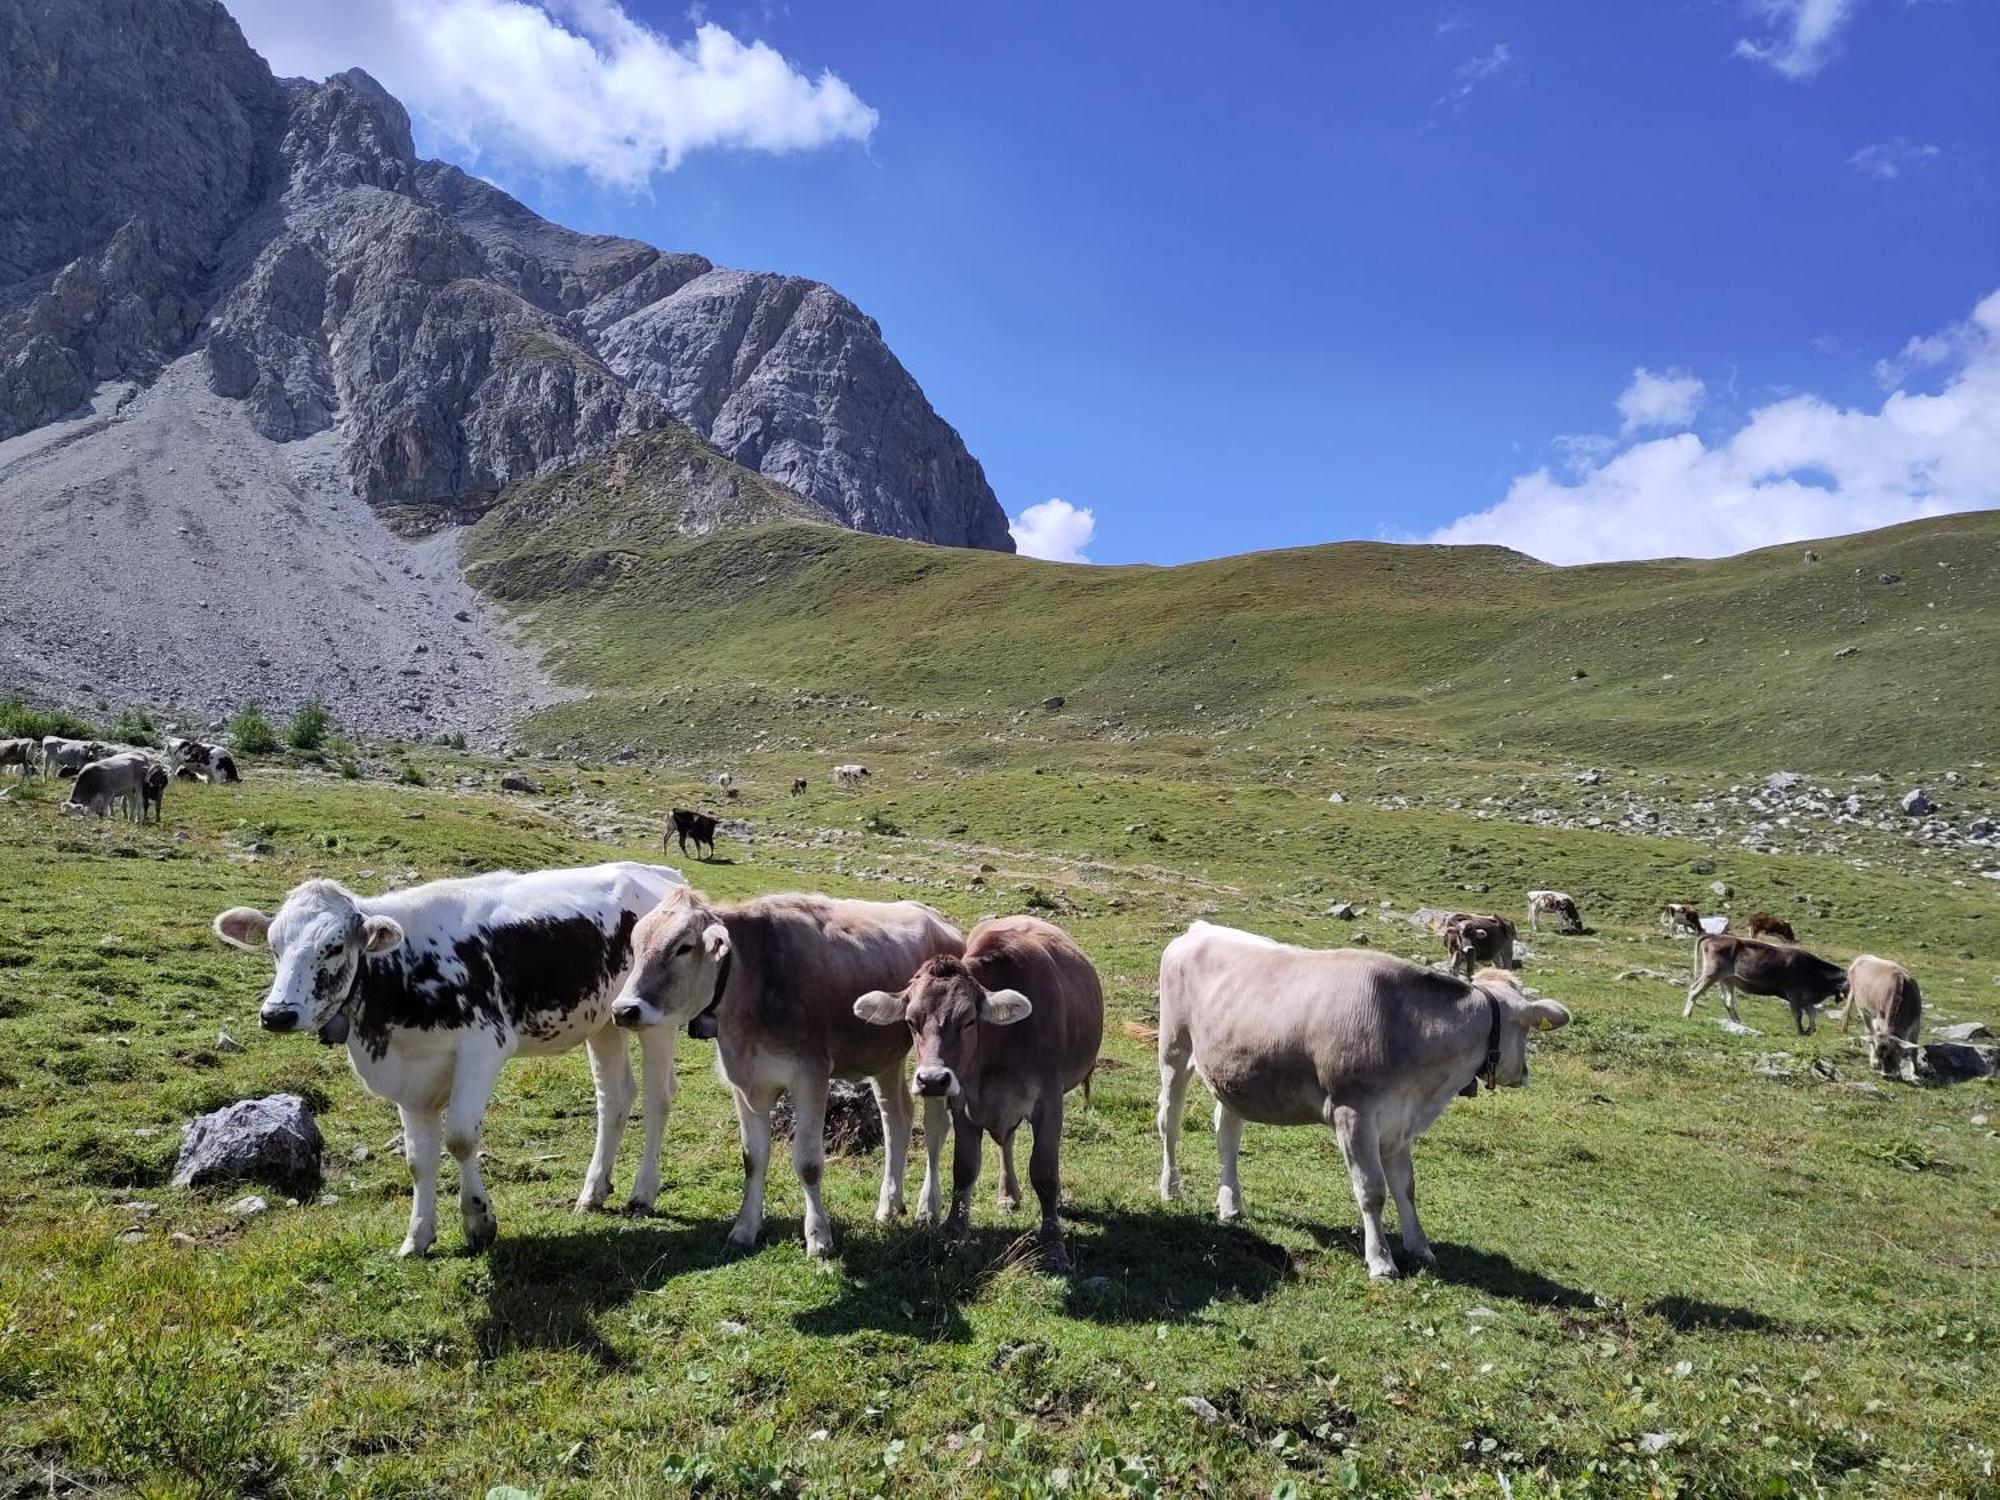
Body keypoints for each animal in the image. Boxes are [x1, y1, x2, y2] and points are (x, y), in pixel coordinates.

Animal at [215, 856, 688, 1256]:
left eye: (333, 947)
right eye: (274, 947)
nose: (278, 1014)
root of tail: (658, 873)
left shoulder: (484, 1046)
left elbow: (460, 1137)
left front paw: (479, 1222)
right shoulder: (411, 1076)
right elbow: (417, 1160)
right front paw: (417, 1238)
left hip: (654, 1019)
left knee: (657, 1098)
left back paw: (642, 1193)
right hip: (604, 1021)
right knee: (614, 1099)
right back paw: (593, 1192)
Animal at [612, 892, 964, 1256]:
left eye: (683, 946)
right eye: (636, 944)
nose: (624, 1010)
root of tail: (937, 919)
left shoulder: (811, 1075)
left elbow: (808, 1163)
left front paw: (819, 1237)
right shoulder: (744, 1081)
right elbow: (752, 1158)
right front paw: (744, 1229)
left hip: (932, 1061)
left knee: (936, 1127)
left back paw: (928, 1208)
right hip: (883, 1057)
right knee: (896, 1119)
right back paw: (889, 1206)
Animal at [852, 916, 1112, 1272]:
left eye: (968, 1020)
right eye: (911, 1021)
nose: (933, 1080)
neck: (998, 1048)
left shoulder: (1049, 1100)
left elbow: (1044, 1171)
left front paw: (1053, 1247)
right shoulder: (963, 1102)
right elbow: (964, 1168)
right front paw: (954, 1233)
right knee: (1007, 1141)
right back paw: (1008, 1194)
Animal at [1160, 928, 1576, 1280]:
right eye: (1526, 1030)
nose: (1524, 1073)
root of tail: (1199, 929)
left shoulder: (1400, 1120)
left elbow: (1406, 1186)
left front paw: (1420, 1247)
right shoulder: (1353, 1113)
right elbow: (1372, 1190)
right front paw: (1381, 1261)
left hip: (1232, 1072)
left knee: (1227, 1133)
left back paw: (1230, 1203)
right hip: (1174, 1050)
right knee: (1170, 1121)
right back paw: (1171, 1189)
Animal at [1688, 936, 1840, 1040]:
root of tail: (1714, 936)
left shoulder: (1805, 999)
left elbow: (1812, 1013)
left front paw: (1810, 1031)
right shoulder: (1795, 994)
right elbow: (1799, 1014)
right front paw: (1801, 1032)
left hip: (1726, 979)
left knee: (1727, 1000)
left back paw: (1737, 1022)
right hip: (1712, 973)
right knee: (1695, 990)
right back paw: (1687, 1015)